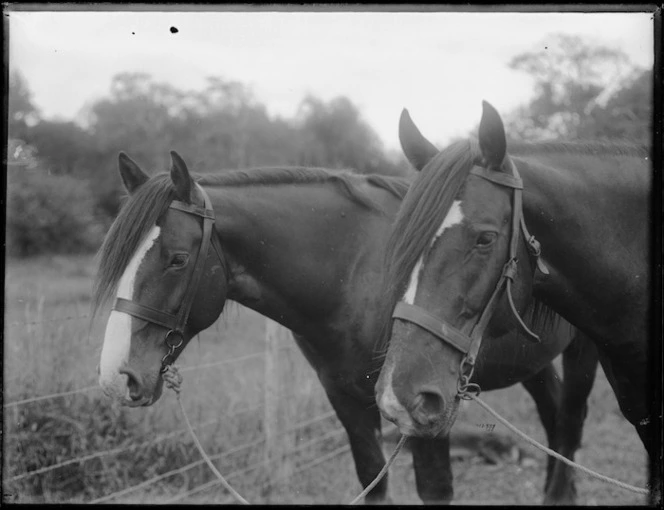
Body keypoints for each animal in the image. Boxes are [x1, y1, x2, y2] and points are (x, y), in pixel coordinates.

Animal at [97, 149, 596, 504]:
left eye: (178, 259)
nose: (116, 377)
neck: (354, 273)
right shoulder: (346, 399)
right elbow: (372, 481)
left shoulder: (424, 410)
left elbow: (435, 488)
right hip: (533, 364)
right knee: (555, 421)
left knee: (570, 424)